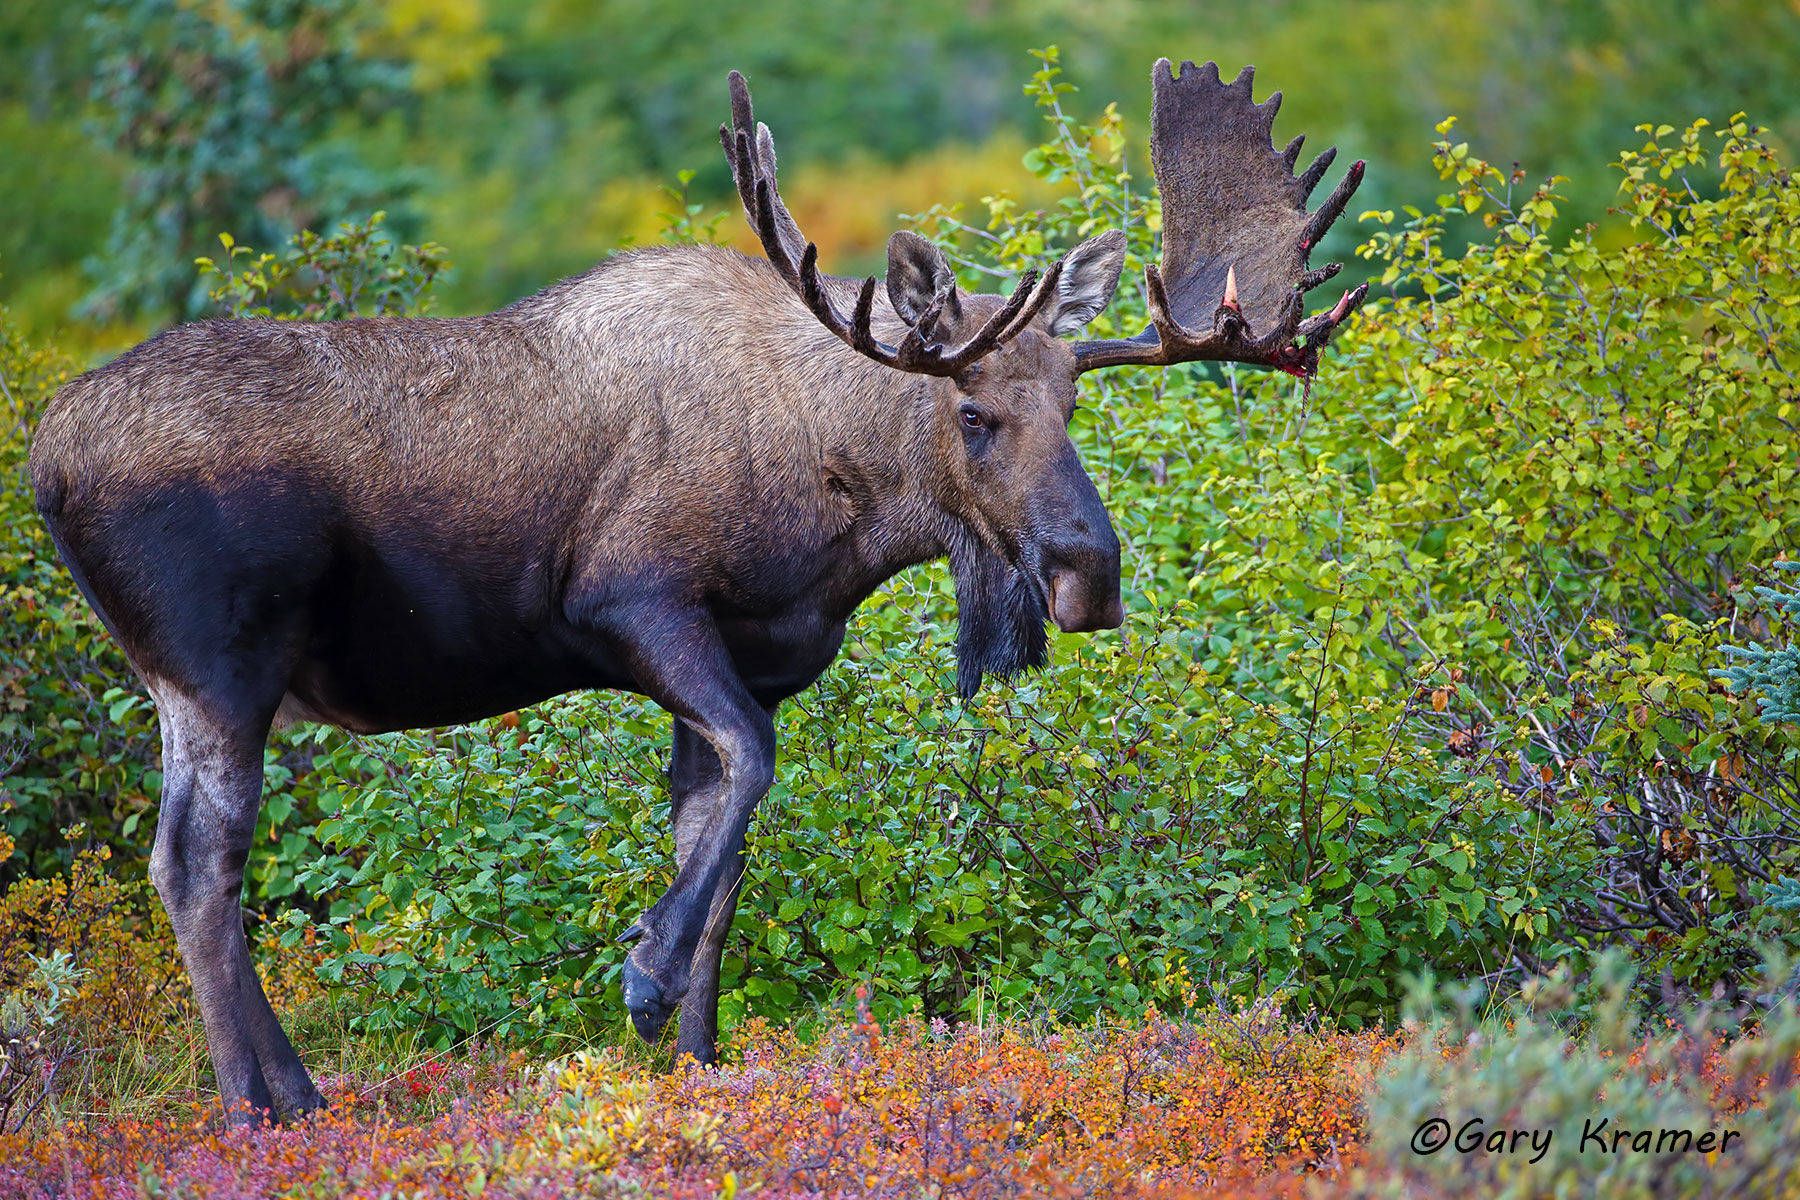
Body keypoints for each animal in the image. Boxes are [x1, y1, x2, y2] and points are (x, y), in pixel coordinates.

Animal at [29, 59, 1365, 1123]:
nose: (1091, 576)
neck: (843, 514)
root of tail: (46, 460)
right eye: (976, 414)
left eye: (1077, 402)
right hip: (223, 667)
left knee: (181, 866)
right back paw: (267, 1104)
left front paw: (698, 1056)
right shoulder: (633, 603)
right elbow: (746, 787)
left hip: (184, 687)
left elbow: (721, 844)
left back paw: (284, 1092)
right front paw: (642, 975)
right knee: (199, 868)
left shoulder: (752, 663)